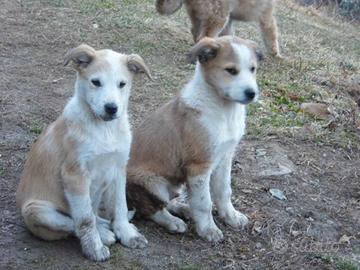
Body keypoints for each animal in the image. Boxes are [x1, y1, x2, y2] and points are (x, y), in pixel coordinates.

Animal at [16, 44, 152, 262]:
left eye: (122, 84)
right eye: (96, 82)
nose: (111, 108)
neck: (104, 129)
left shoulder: (118, 168)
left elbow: (120, 205)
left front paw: (127, 233)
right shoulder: (75, 175)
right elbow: (85, 221)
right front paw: (94, 249)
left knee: (92, 213)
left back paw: (105, 225)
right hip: (36, 210)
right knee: (74, 222)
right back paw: (104, 234)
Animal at [127, 36, 262, 243]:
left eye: (253, 69)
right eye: (231, 70)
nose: (252, 93)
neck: (224, 110)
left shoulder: (224, 158)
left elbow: (224, 191)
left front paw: (231, 217)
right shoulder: (199, 166)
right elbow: (204, 202)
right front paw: (208, 230)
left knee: (168, 200)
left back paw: (183, 209)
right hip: (151, 182)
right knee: (149, 208)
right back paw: (173, 222)